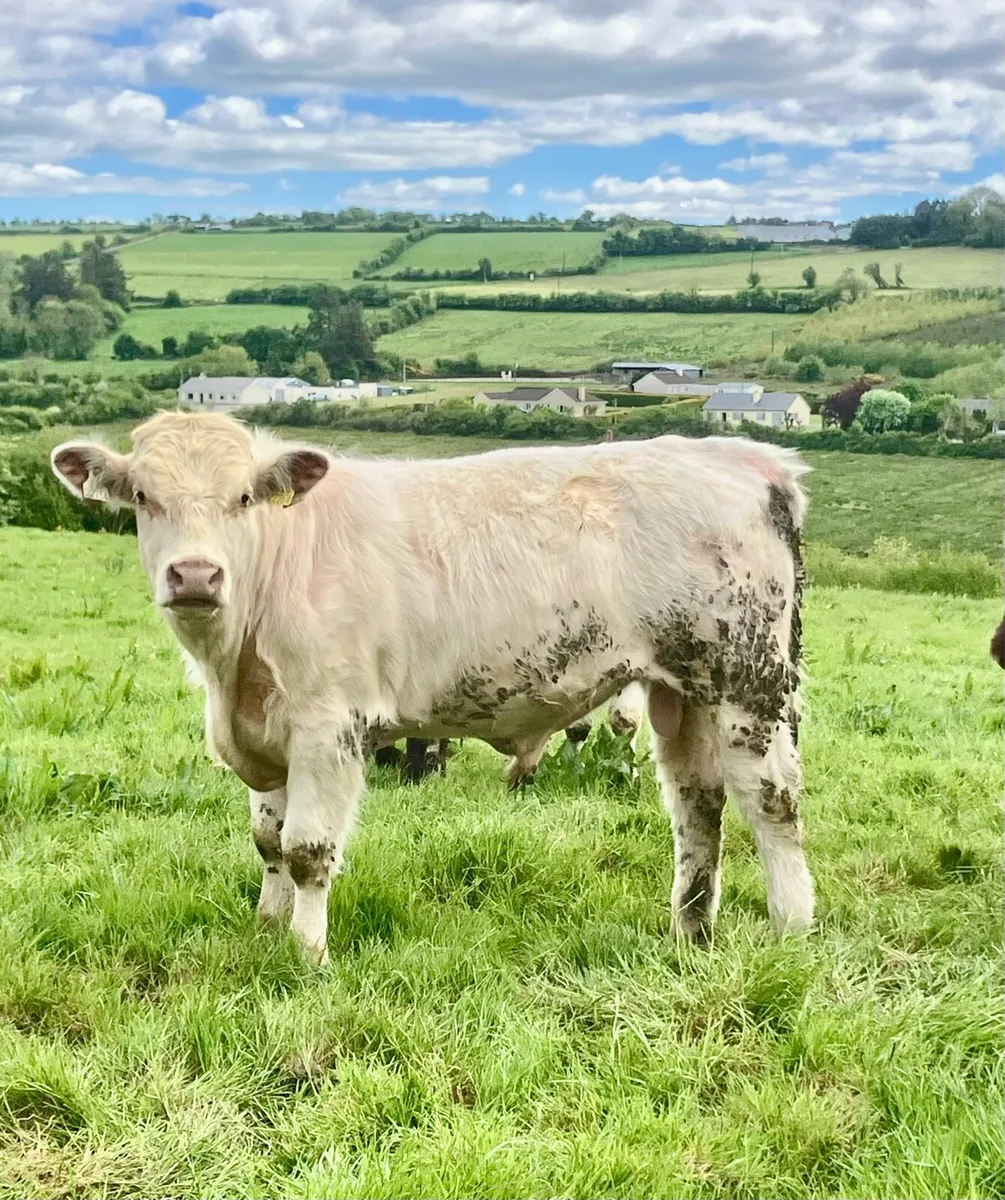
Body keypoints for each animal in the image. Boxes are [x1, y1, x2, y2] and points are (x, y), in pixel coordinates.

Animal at [51, 411, 813, 963]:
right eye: (144, 497)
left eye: (243, 498)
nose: (196, 575)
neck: (234, 667)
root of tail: (746, 459)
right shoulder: (266, 737)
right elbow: (268, 842)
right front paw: (267, 928)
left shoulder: (328, 728)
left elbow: (305, 851)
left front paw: (304, 954)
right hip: (680, 691)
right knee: (698, 804)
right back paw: (690, 932)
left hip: (749, 684)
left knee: (770, 802)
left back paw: (791, 930)